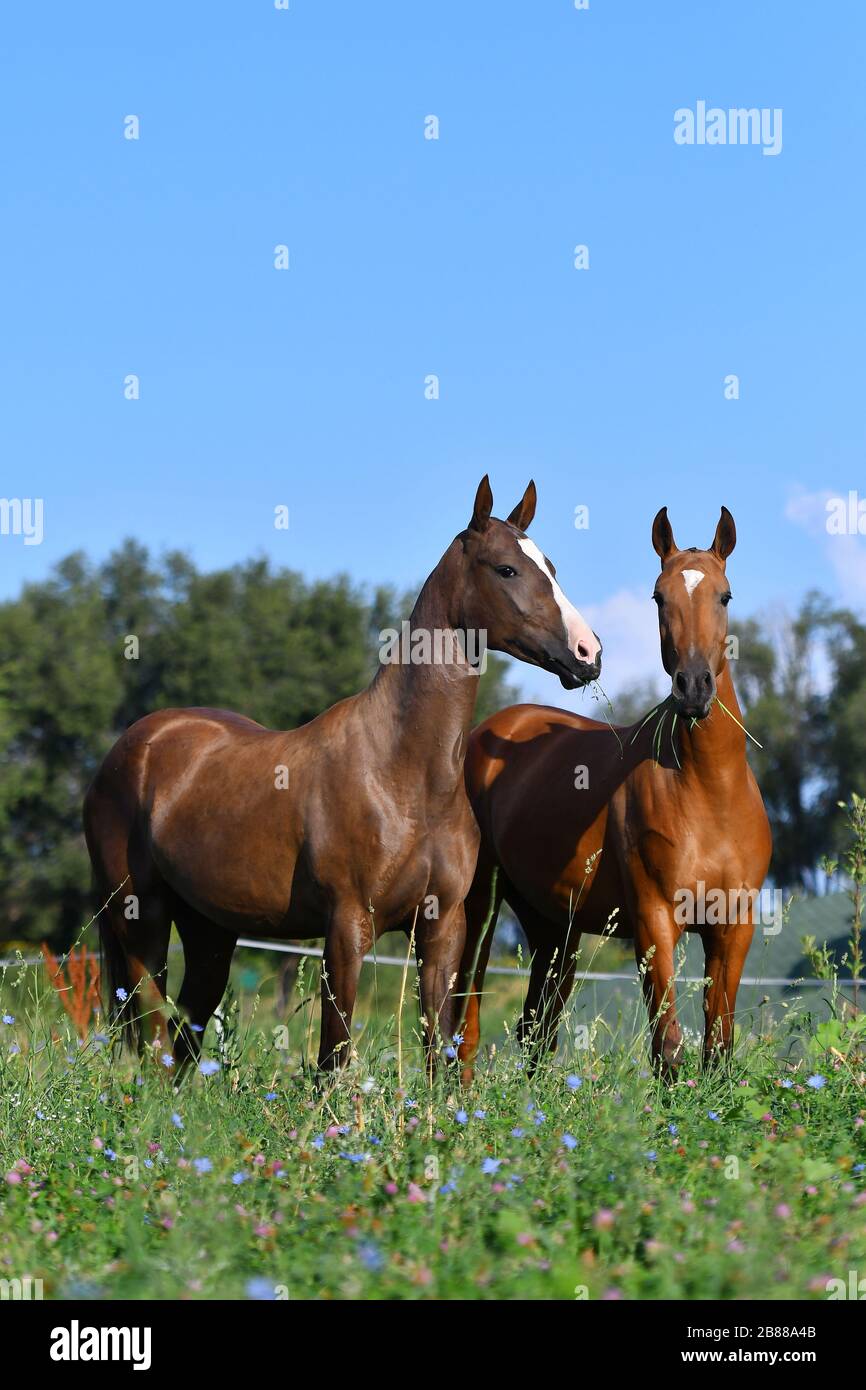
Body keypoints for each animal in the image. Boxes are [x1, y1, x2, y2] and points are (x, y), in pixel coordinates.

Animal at [86, 478, 603, 1073]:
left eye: (552, 568)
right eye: (507, 569)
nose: (589, 654)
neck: (403, 776)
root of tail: (133, 746)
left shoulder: (443, 931)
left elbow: (437, 1054)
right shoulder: (347, 929)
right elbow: (332, 1059)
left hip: (209, 933)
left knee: (183, 1039)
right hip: (139, 923)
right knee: (152, 1043)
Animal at [461, 505, 772, 1078]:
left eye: (725, 595)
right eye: (658, 596)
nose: (693, 686)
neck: (709, 790)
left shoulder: (732, 928)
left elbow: (718, 1047)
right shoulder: (655, 923)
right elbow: (668, 1048)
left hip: (553, 927)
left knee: (537, 1029)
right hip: (482, 906)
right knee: (465, 1018)